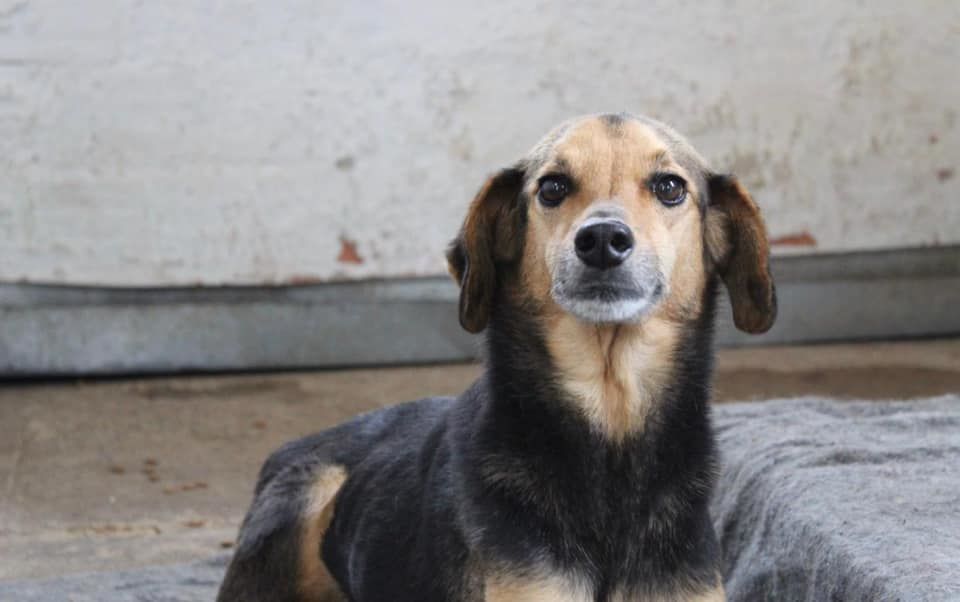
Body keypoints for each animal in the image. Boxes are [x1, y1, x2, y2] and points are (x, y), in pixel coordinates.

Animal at [216, 113, 772, 600]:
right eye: (552, 188)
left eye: (669, 187)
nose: (602, 239)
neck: (609, 433)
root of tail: (288, 448)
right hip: (306, 494)